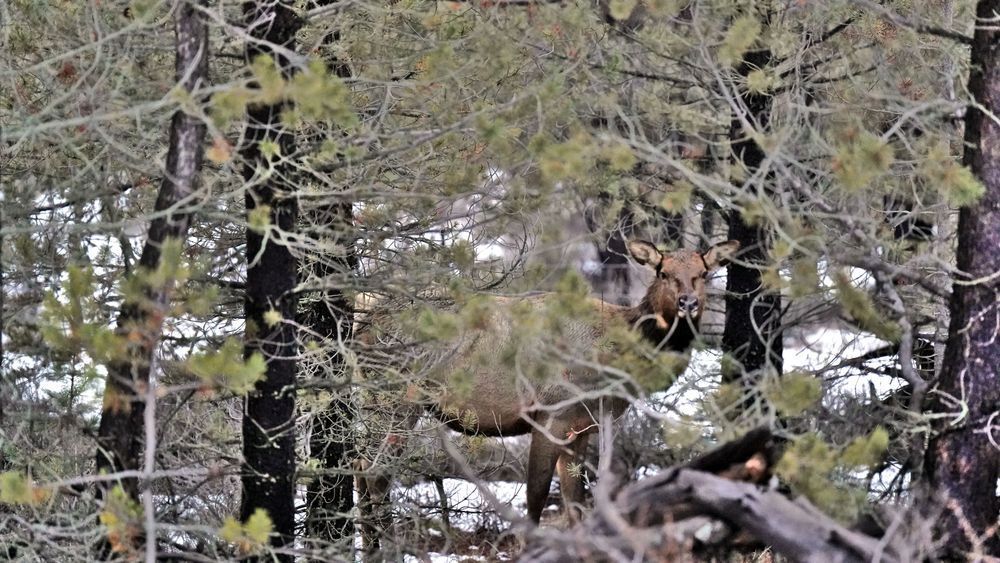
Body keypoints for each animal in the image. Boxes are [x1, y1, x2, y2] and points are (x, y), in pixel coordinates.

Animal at [354, 239, 740, 551]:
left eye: (704, 272)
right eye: (663, 271)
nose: (688, 303)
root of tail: (363, 323)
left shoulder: (583, 424)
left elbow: (576, 500)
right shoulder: (552, 411)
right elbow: (537, 496)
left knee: (358, 466)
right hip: (396, 396)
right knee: (377, 473)